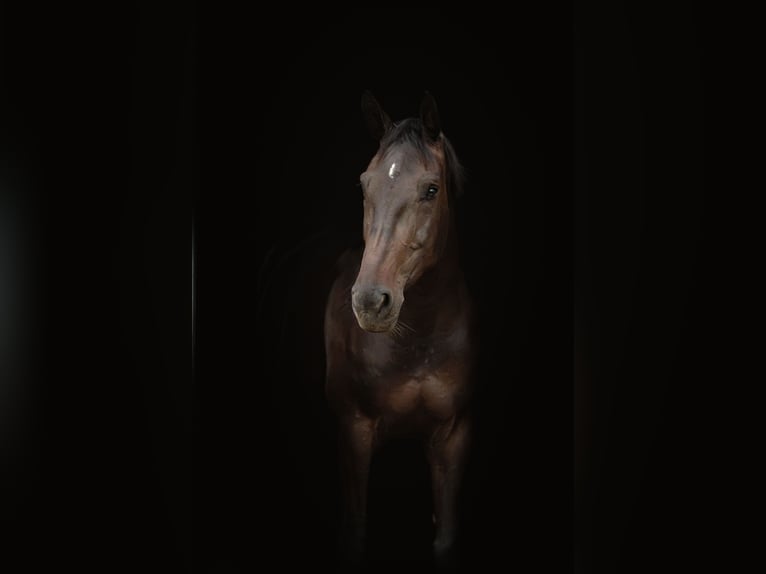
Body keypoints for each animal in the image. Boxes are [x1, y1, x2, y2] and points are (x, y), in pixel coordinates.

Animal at [324, 91, 477, 567]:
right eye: (364, 185)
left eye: (430, 189)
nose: (371, 302)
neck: (417, 341)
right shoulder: (354, 431)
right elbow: (354, 533)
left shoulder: (453, 437)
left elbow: (446, 536)